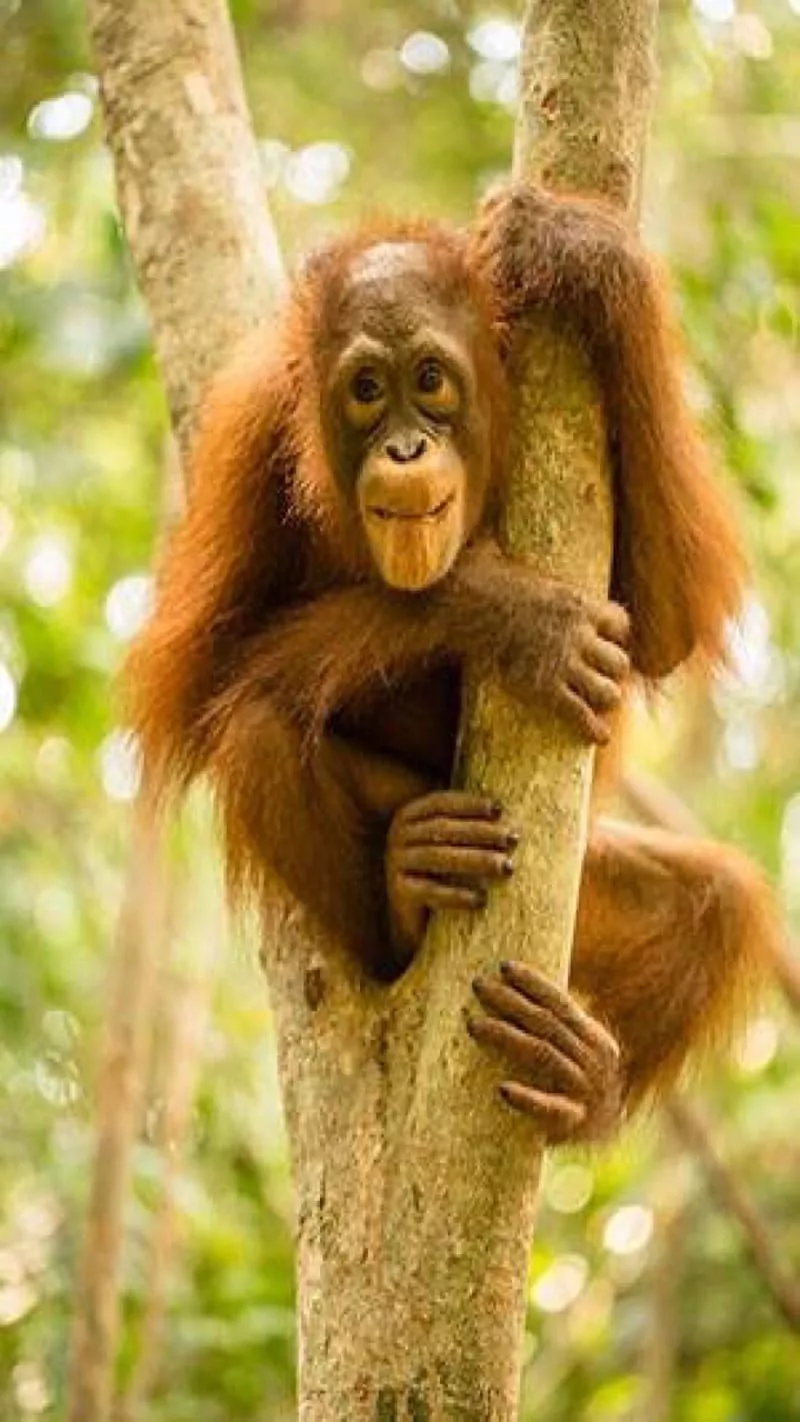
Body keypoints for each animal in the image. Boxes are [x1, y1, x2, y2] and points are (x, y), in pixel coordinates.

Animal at [126, 182, 776, 1147]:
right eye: (366, 391)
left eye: (430, 380)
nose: (404, 449)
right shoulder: (248, 433)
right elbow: (198, 680)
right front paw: (513, 611)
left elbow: (663, 625)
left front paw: (587, 256)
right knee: (256, 727)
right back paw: (407, 887)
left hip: (582, 888)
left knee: (717, 906)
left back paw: (583, 1083)